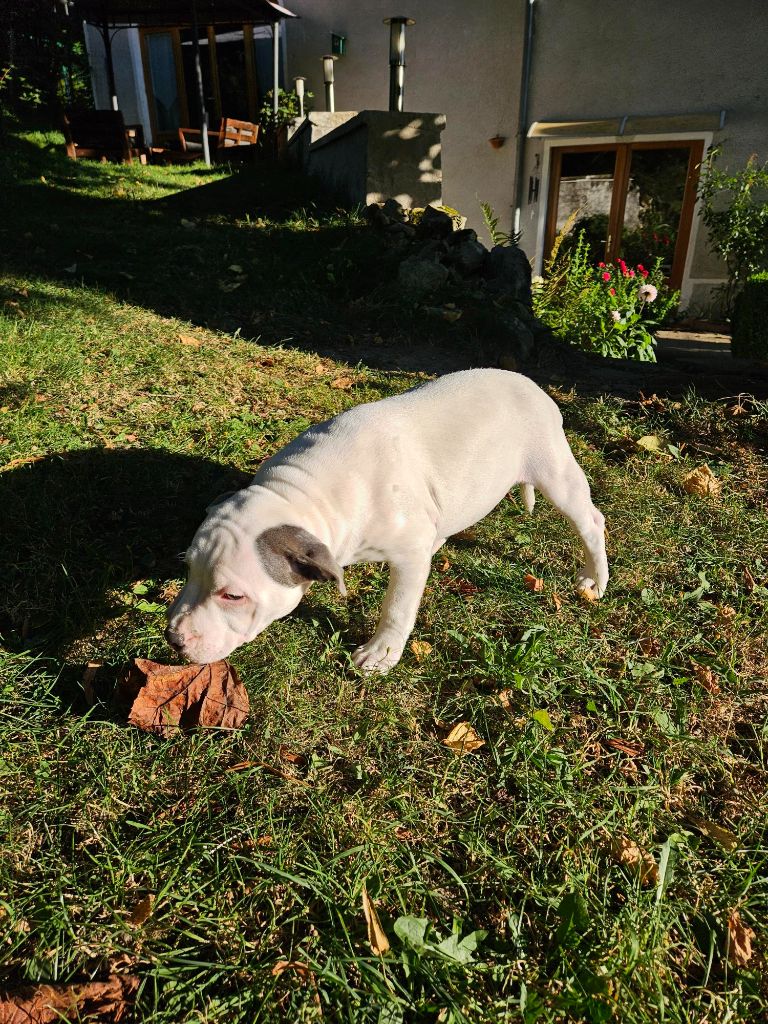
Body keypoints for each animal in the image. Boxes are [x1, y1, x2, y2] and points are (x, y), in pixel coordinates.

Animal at [166, 369, 608, 673]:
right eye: (188, 570)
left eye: (232, 596)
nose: (172, 638)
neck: (304, 493)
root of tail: (530, 383)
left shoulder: (408, 555)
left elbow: (398, 606)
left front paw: (381, 652)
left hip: (554, 470)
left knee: (591, 521)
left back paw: (594, 580)